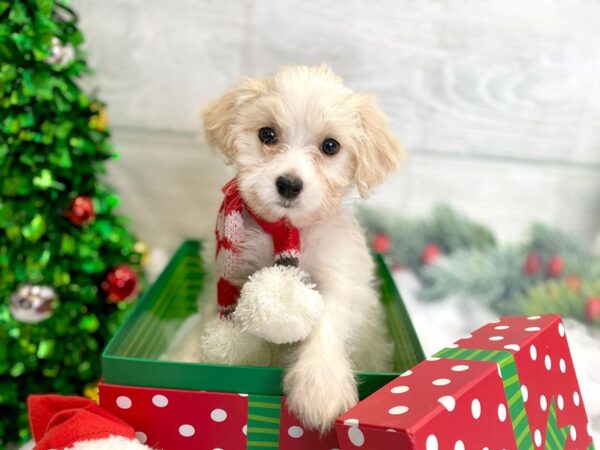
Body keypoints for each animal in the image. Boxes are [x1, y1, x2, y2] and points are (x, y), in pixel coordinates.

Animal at [202, 66, 404, 432]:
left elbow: (327, 320)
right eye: (267, 134)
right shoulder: (233, 275)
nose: (289, 184)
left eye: (330, 146)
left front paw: (320, 386)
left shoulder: (340, 276)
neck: (287, 230)